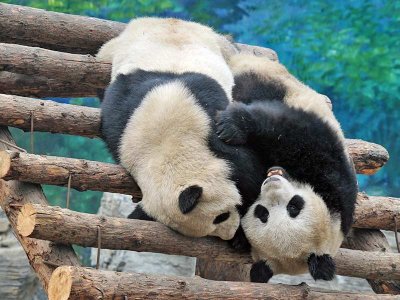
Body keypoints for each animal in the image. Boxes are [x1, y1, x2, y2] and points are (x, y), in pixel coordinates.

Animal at [216, 53, 360, 282]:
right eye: (296, 205)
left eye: (262, 213)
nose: (271, 184)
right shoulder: (335, 179)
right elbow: (287, 130)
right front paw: (232, 125)